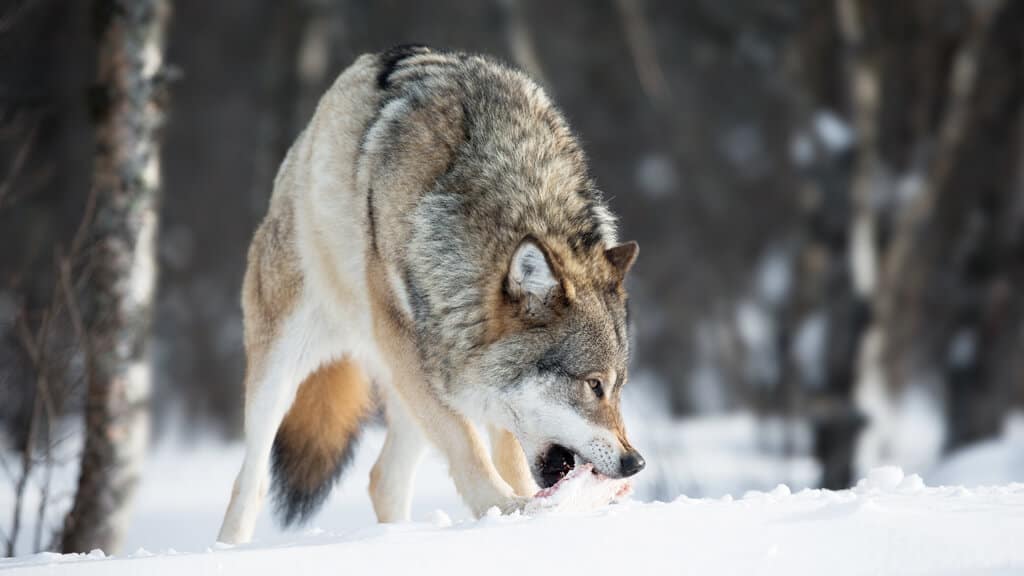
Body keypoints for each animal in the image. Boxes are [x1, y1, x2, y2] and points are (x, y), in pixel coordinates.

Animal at [219, 45, 643, 541]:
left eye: (619, 388)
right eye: (594, 385)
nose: (635, 463)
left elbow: (508, 448)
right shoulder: (410, 349)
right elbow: (467, 445)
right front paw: (507, 509)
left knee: (383, 479)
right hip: (288, 367)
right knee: (249, 484)